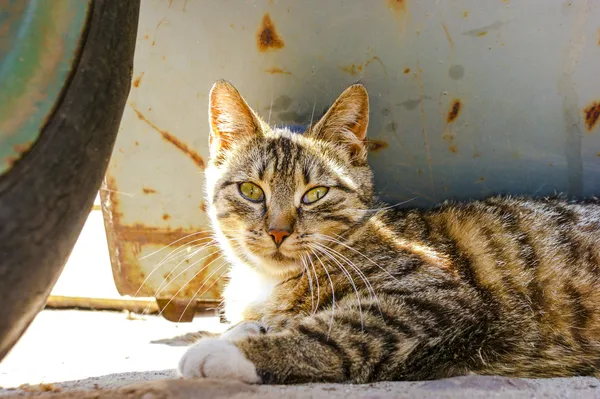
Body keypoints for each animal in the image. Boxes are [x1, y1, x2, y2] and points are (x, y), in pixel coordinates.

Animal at [176, 79, 600, 384]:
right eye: (251, 190)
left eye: (314, 194)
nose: (278, 231)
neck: (266, 281)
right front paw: (245, 329)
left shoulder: (434, 298)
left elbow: (334, 332)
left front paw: (229, 351)